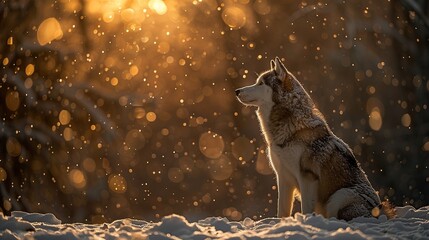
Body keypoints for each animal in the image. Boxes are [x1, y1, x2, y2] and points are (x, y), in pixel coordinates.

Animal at [234, 57, 392, 220]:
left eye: (261, 83)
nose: (237, 91)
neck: (290, 131)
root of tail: (379, 211)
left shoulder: (307, 178)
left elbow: (305, 209)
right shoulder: (283, 178)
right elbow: (282, 211)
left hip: (339, 196)